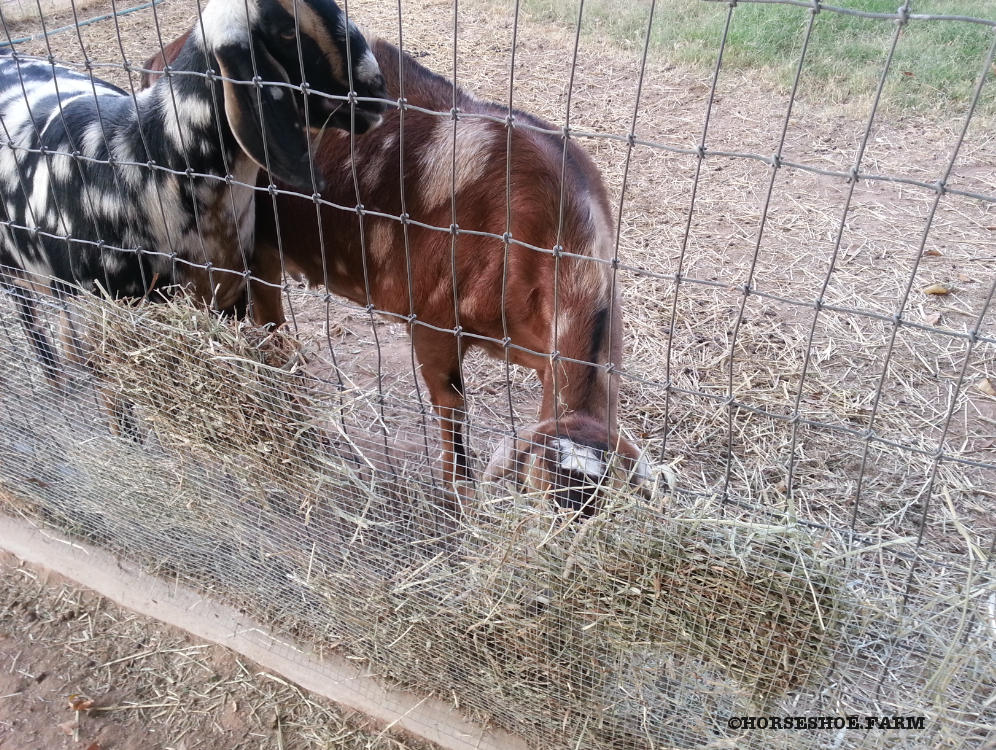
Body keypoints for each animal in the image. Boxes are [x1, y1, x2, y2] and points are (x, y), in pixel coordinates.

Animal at [144, 36, 648, 516]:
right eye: (538, 494)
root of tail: (164, 55)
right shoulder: (433, 320)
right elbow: (452, 407)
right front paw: (458, 495)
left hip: (264, 245)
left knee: (270, 325)